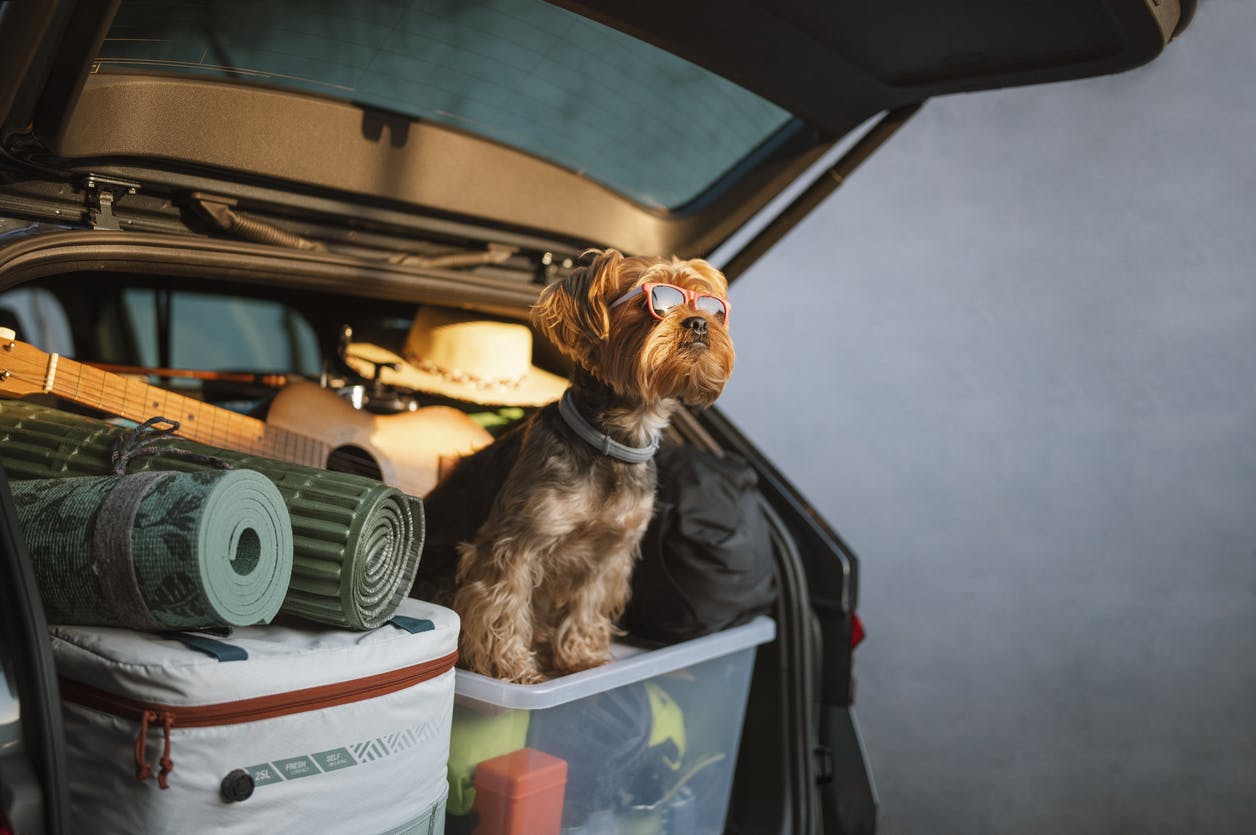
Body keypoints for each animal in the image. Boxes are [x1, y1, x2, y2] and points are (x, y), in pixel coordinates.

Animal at [416, 247, 733, 683]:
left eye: (710, 306)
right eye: (654, 301)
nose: (700, 322)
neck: (614, 440)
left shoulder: (609, 554)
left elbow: (587, 602)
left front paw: (581, 656)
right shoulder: (517, 542)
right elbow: (503, 602)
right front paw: (511, 669)